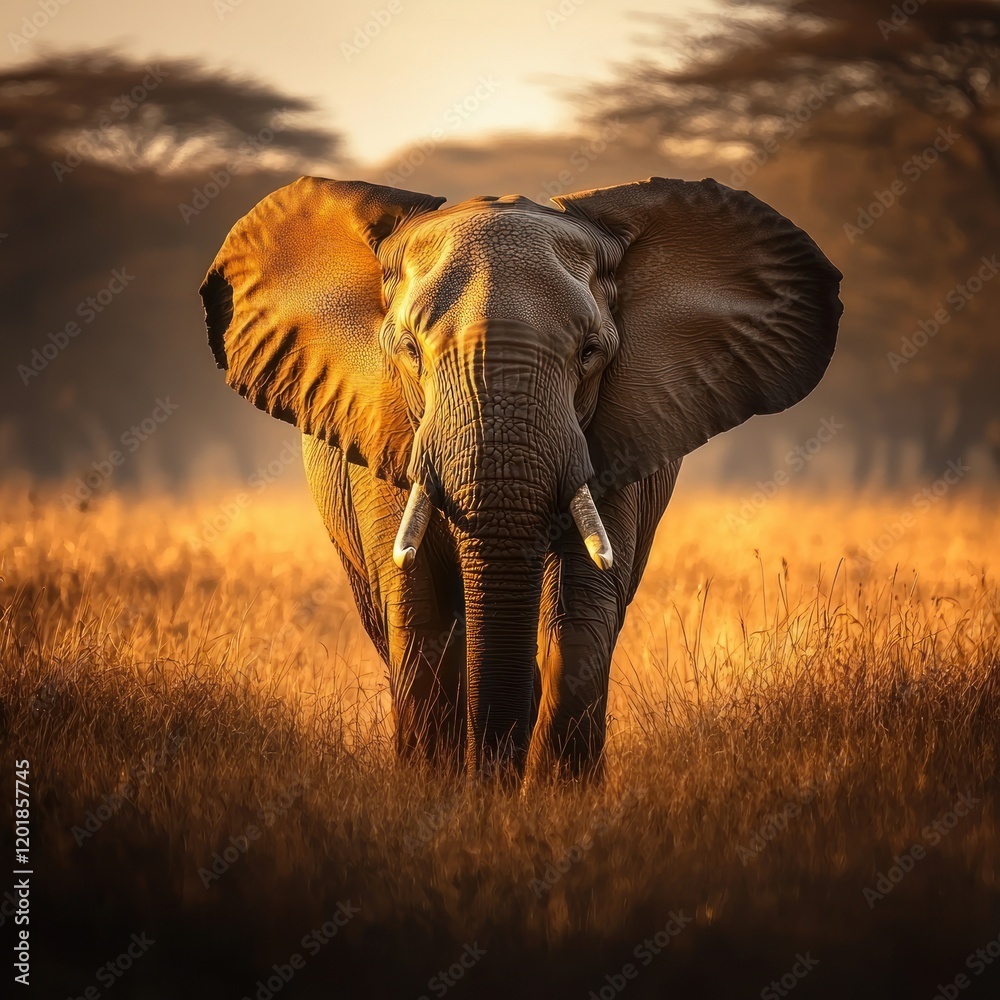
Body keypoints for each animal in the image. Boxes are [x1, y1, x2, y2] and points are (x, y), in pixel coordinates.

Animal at [200, 175, 842, 783]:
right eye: (409, 350)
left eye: (590, 353)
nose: (491, 784)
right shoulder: (384, 432)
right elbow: (422, 608)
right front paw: (436, 792)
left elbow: (578, 610)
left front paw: (556, 799)